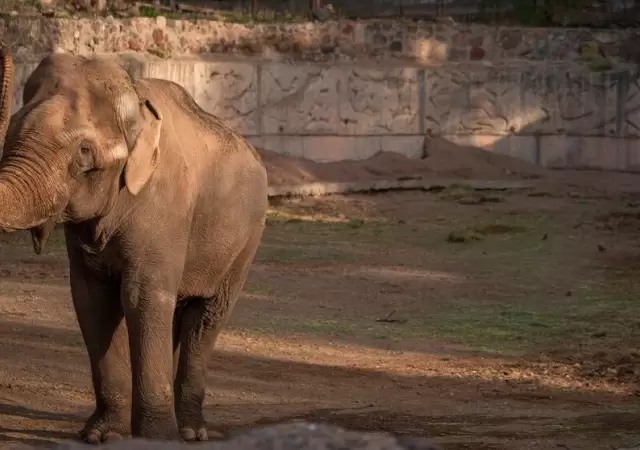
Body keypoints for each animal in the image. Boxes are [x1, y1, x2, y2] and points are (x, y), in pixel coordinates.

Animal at [0, 44, 268, 443]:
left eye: (84, 151)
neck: (136, 101)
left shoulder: (164, 208)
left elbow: (142, 296)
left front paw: (155, 438)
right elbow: (92, 299)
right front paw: (101, 436)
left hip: (247, 240)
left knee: (206, 316)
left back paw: (191, 432)